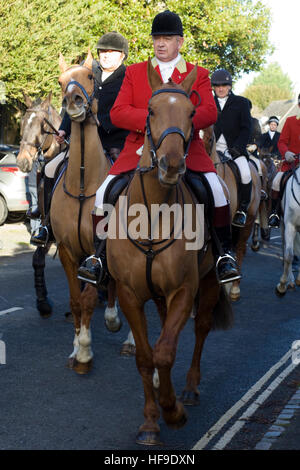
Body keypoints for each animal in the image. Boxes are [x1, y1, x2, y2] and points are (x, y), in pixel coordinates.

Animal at [106, 60, 233, 446]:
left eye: (192, 112)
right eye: (150, 110)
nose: (172, 165)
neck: (153, 214)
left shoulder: (183, 290)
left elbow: (164, 351)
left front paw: (172, 411)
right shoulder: (130, 294)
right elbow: (146, 357)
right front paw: (150, 422)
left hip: (208, 283)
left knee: (201, 328)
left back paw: (188, 388)